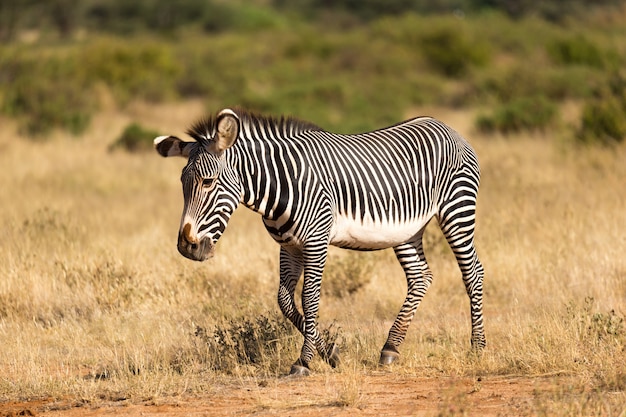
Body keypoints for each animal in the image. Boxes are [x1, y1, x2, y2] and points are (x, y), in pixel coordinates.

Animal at [154, 109, 486, 376]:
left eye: (208, 182)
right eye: (183, 183)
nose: (187, 247)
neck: (280, 184)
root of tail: (446, 126)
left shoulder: (316, 240)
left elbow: (309, 298)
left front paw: (304, 362)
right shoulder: (289, 245)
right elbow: (285, 301)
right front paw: (331, 353)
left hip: (456, 210)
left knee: (473, 273)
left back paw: (478, 348)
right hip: (407, 230)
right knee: (420, 277)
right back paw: (390, 348)